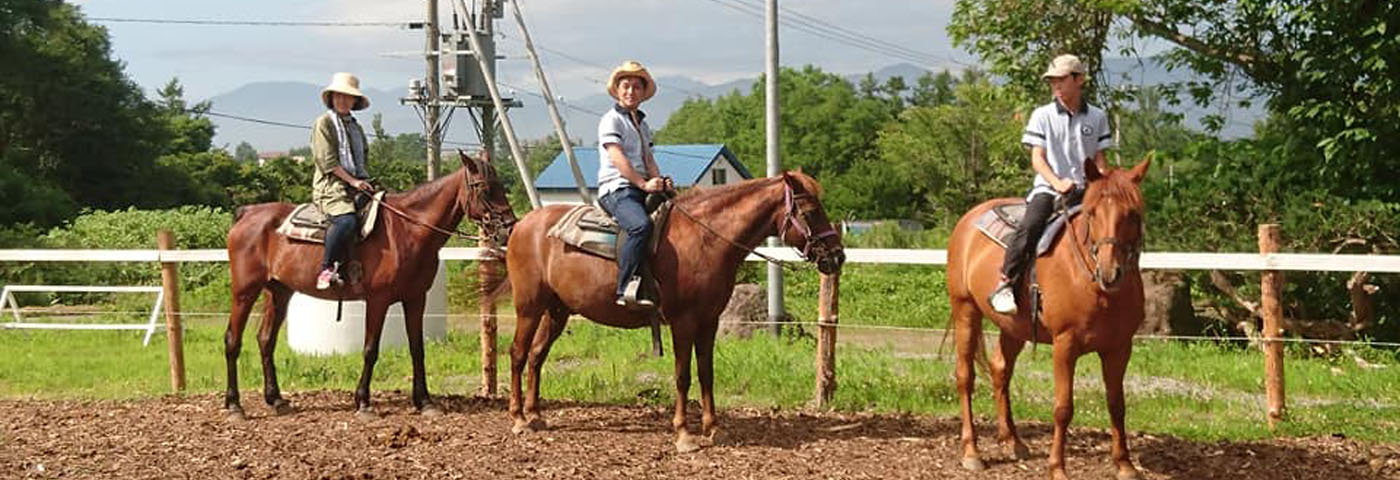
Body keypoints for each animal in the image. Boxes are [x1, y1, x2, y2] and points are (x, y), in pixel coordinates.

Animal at [221, 152, 518, 422]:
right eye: (484, 187)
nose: (509, 227)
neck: (407, 230)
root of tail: (247, 214)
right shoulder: (378, 300)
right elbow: (370, 349)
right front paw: (363, 402)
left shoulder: (416, 298)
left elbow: (417, 348)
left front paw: (424, 401)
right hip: (244, 292)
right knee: (233, 340)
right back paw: (235, 406)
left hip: (278, 292)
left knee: (265, 340)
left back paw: (276, 400)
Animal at [509, 174, 845, 453]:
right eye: (810, 211)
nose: (837, 256)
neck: (705, 239)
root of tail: (523, 225)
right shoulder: (683, 322)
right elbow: (683, 376)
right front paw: (684, 434)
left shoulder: (709, 322)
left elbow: (706, 373)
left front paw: (714, 428)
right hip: (528, 307)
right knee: (518, 354)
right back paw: (519, 419)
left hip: (556, 311)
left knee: (537, 355)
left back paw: (535, 415)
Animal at [946, 158, 1153, 480]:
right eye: (1092, 213)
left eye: (1133, 213)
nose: (1110, 272)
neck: (1093, 285)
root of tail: (969, 219)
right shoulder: (1064, 345)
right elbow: (1063, 408)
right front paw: (1057, 467)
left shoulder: (1120, 348)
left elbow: (1117, 404)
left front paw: (1125, 465)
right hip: (965, 310)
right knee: (965, 376)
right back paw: (972, 452)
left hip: (1013, 327)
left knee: (1000, 369)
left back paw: (1012, 441)